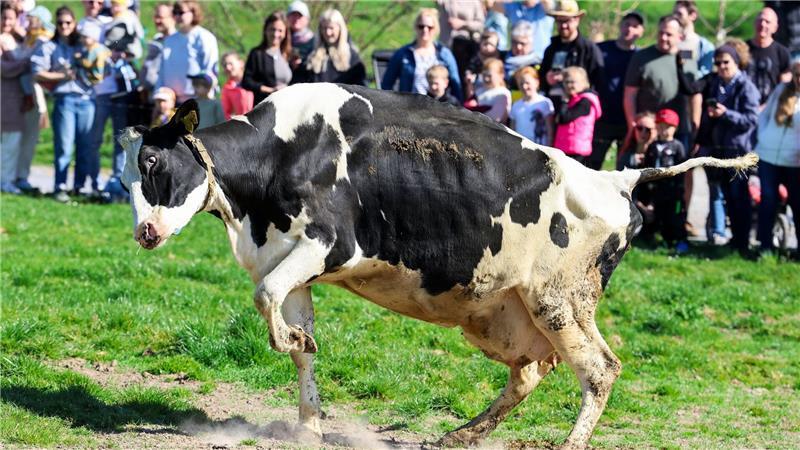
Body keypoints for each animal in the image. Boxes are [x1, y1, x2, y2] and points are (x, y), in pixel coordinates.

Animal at [118, 82, 756, 449]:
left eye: (152, 163)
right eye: (123, 177)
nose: (145, 233)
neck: (280, 153)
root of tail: (617, 178)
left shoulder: (328, 244)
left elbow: (266, 301)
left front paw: (292, 347)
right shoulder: (288, 259)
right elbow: (292, 333)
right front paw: (307, 421)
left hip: (561, 300)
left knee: (599, 369)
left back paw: (565, 443)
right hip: (504, 314)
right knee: (530, 370)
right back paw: (461, 434)